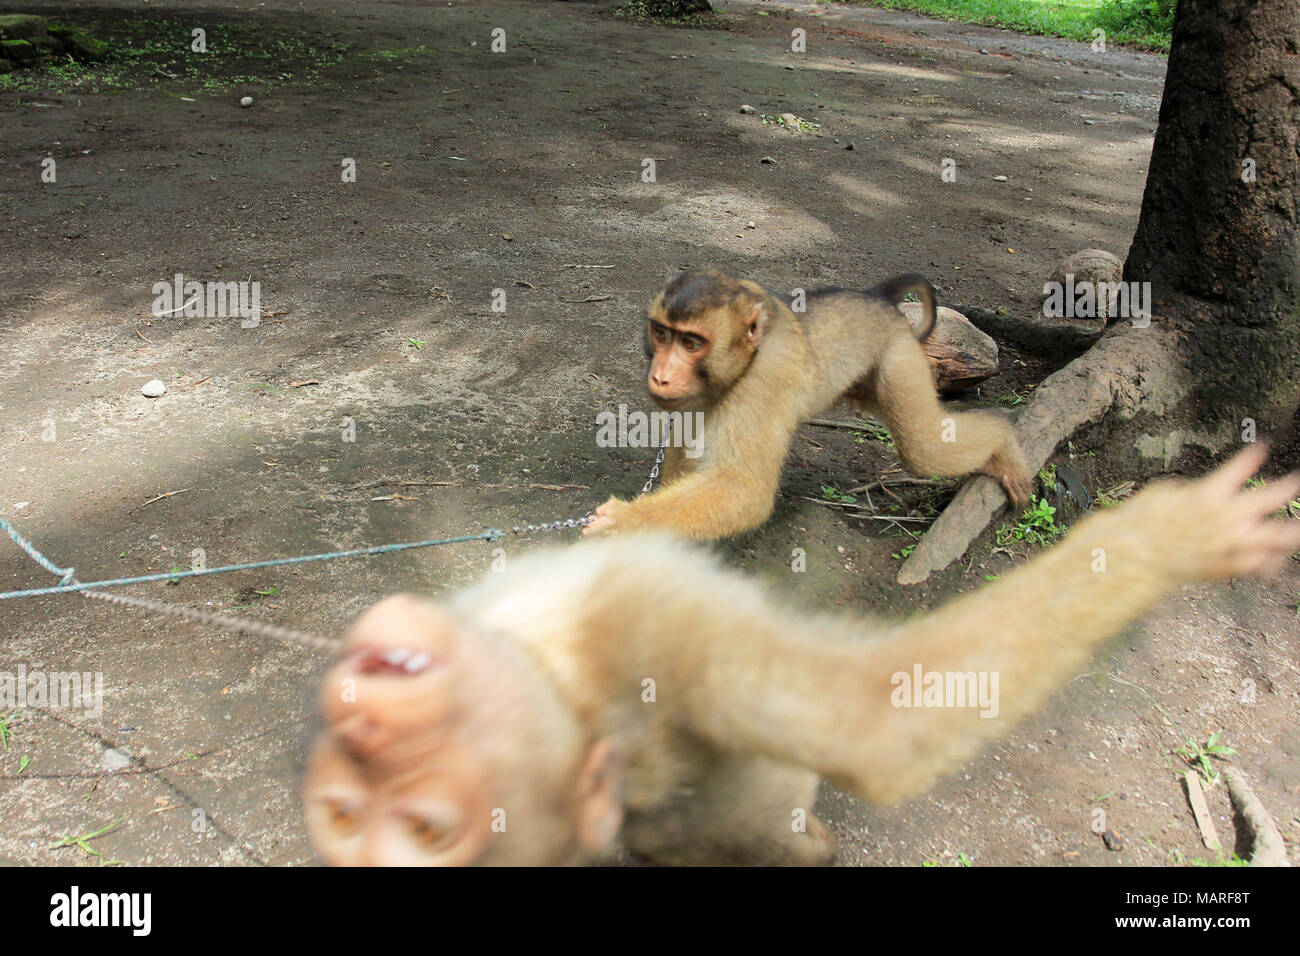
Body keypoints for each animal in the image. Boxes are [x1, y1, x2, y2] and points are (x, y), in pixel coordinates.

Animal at [585, 269, 1029, 541]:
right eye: (662, 334)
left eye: (691, 343)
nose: (660, 375)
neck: (746, 358)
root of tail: (876, 300)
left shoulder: (764, 380)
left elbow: (744, 491)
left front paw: (625, 522)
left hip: (899, 357)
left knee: (923, 450)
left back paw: (1004, 441)